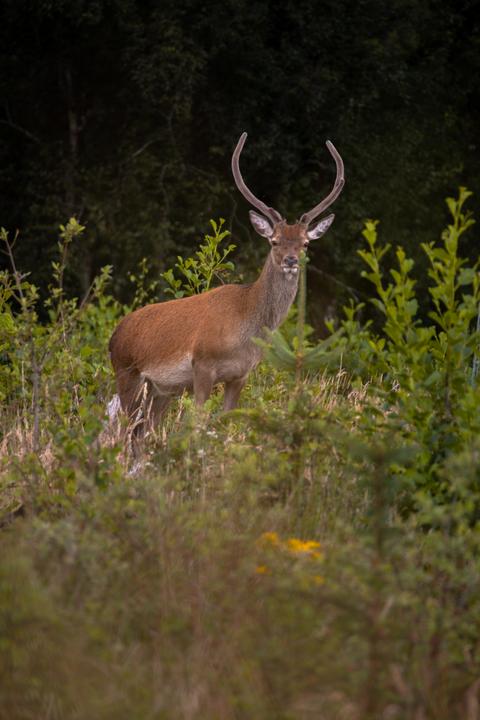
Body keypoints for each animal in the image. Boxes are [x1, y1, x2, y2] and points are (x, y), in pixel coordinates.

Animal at [109, 132, 344, 437]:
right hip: (127, 372)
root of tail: (114, 336)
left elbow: (227, 421)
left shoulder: (240, 374)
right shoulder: (202, 363)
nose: (291, 260)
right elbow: (198, 423)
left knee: (141, 432)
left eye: (305, 243)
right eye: (274, 241)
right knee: (123, 429)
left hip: (160, 390)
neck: (245, 325)